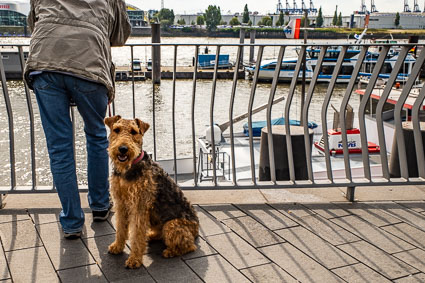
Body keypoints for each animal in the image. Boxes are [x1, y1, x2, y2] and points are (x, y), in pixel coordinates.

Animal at [105, 116, 200, 270]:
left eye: (134, 132)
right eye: (116, 130)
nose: (123, 149)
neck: (128, 168)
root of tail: (197, 229)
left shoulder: (139, 206)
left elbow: (137, 235)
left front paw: (134, 260)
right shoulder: (121, 204)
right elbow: (120, 228)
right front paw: (117, 247)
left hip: (171, 225)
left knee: (189, 245)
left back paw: (169, 252)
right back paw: (151, 235)